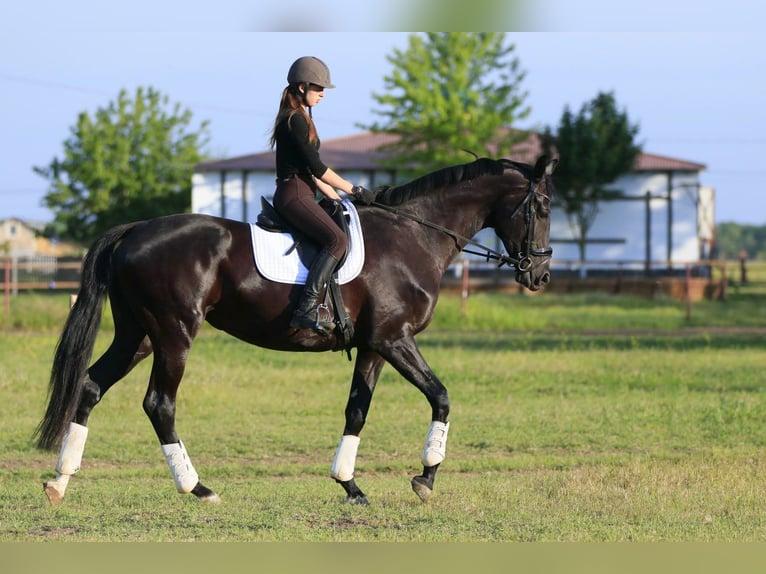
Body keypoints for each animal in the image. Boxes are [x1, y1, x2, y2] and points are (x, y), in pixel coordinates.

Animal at [36, 155, 560, 506]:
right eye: (544, 207)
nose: (539, 275)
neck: (415, 235)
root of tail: (135, 230)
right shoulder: (394, 339)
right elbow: (442, 396)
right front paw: (425, 479)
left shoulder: (373, 346)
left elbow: (356, 411)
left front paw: (350, 485)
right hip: (173, 335)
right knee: (159, 404)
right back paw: (197, 488)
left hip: (138, 336)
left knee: (90, 385)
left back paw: (60, 481)